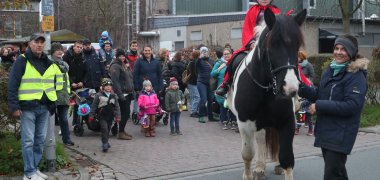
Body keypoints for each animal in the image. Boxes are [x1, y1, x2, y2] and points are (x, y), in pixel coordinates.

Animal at [227, 9, 308, 180]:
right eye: (272, 45)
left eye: (297, 45)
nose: (290, 87)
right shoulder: (244, 123)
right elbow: (247, 153)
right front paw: (248, 174)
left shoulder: (287, 120)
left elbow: (287, 157)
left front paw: (282, 166)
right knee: (260, 141)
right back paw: (259, 167)